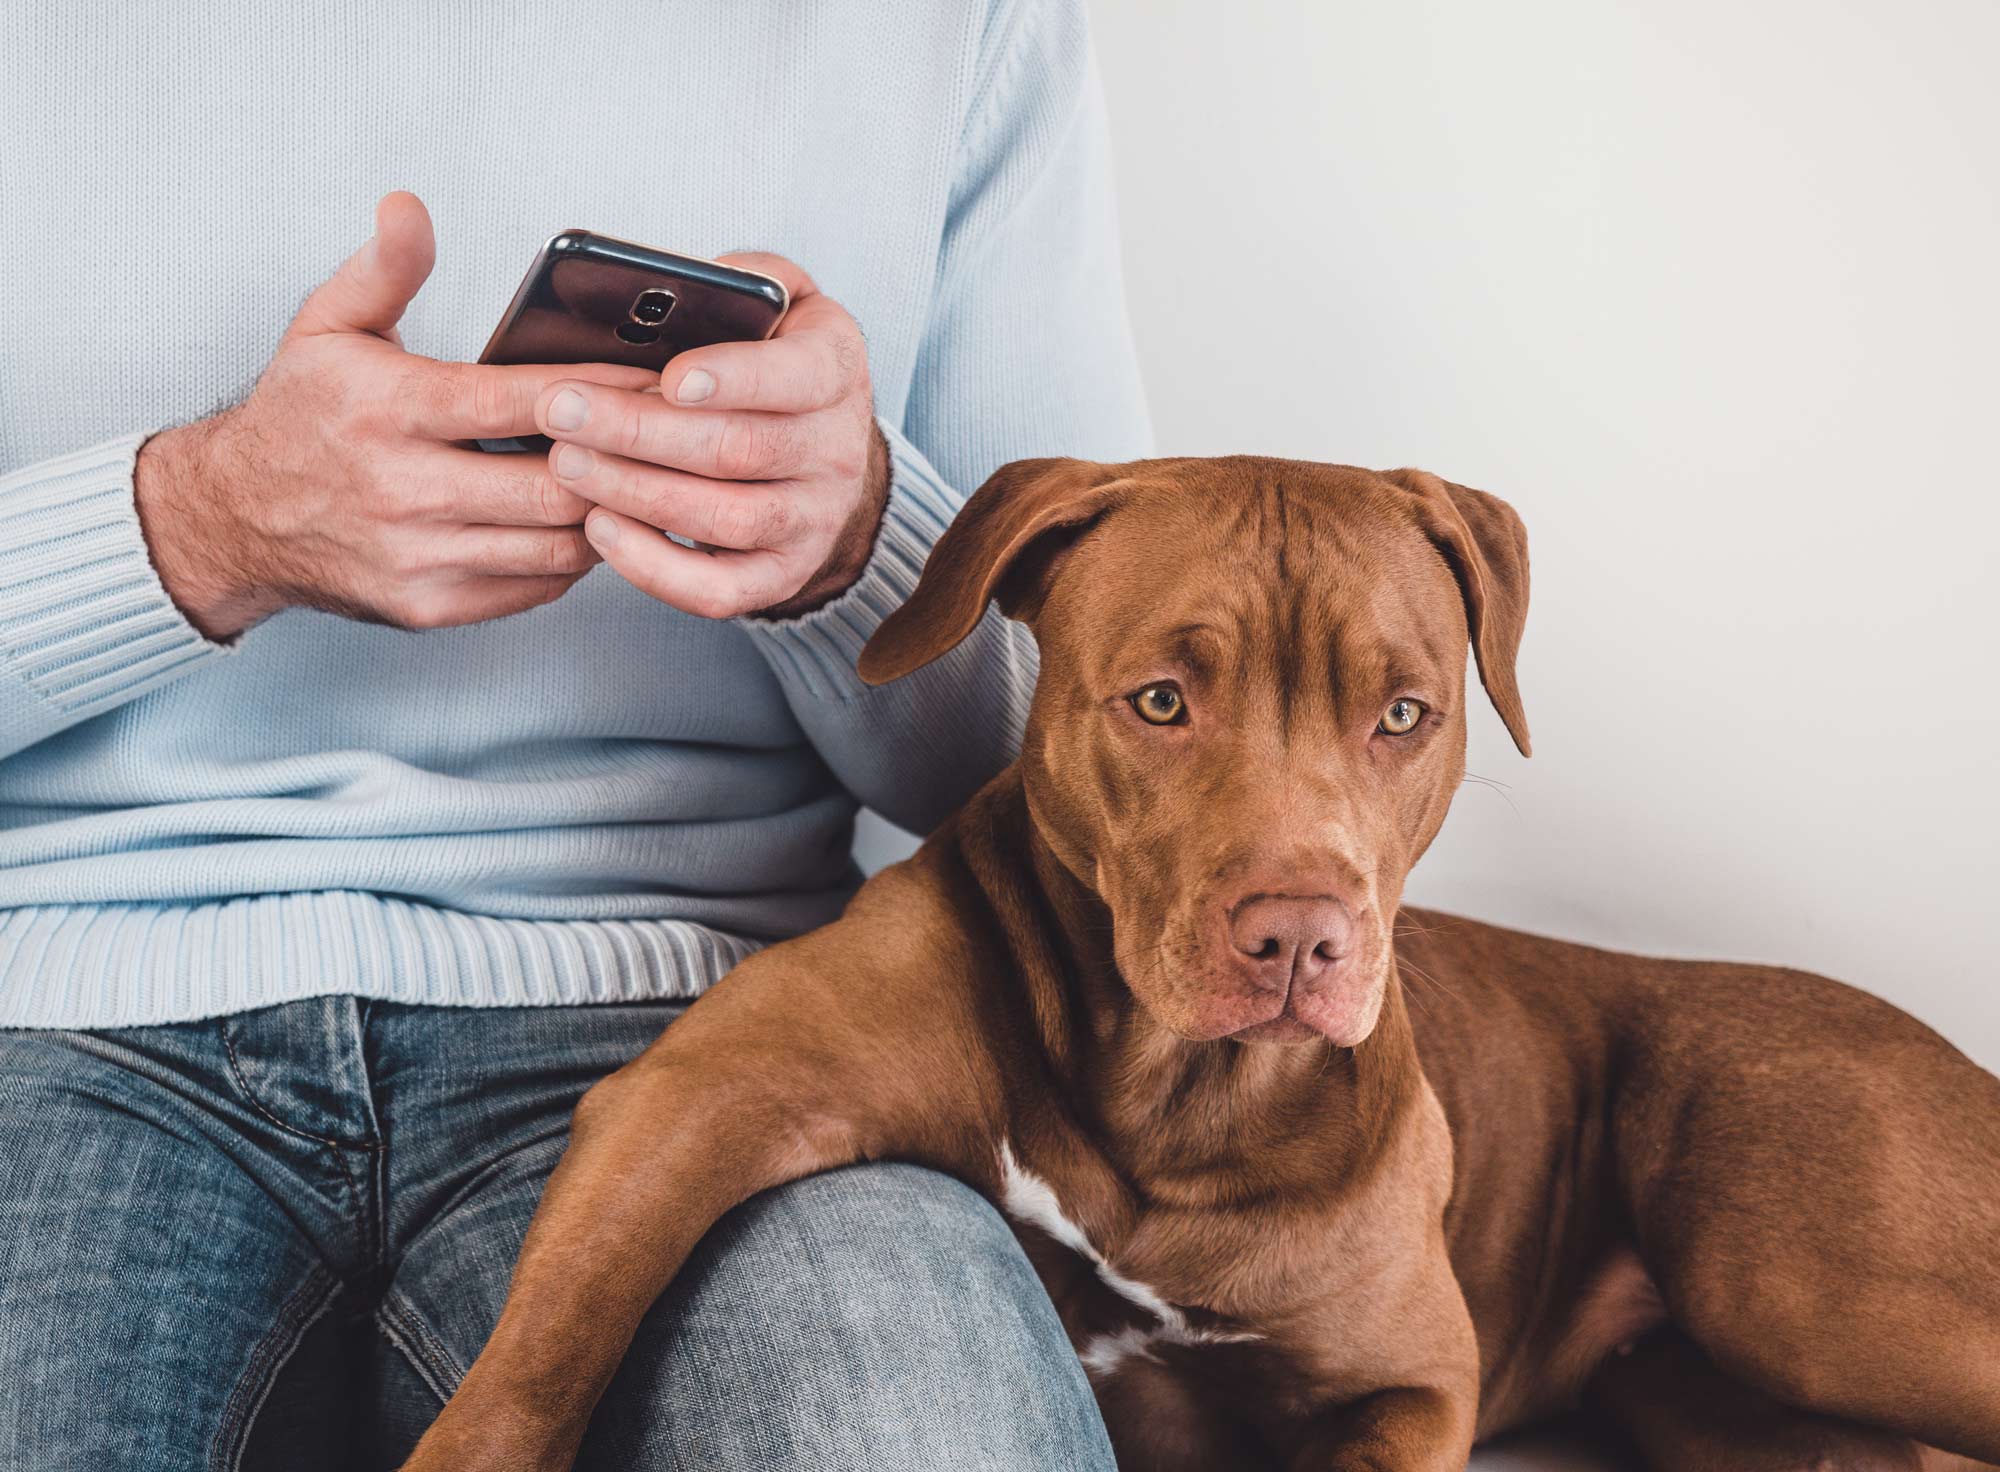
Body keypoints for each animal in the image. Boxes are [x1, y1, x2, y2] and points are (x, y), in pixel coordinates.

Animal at [402, 460, 2000, 1472]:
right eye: (1162, 700)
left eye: (1404, 713)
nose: (1299, 934)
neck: (1177, 1097)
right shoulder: (705, 1097)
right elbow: (537, 1361)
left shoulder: (1411, 1388)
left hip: (1802, 1273)